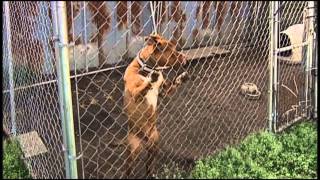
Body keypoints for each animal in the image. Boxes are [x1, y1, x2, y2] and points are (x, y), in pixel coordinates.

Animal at [122, 33, 188, 178]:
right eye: (173, 54)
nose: (186, 59)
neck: (147, 69)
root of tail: (145, 140)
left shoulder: (164, 91)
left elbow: (173, 84)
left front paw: (181, 78)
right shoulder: (135, 94)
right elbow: (142, 87)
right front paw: (150, 80)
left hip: (155, 144)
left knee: (149, 165)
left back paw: (150, 174)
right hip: (133, 150)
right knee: (129, 170)